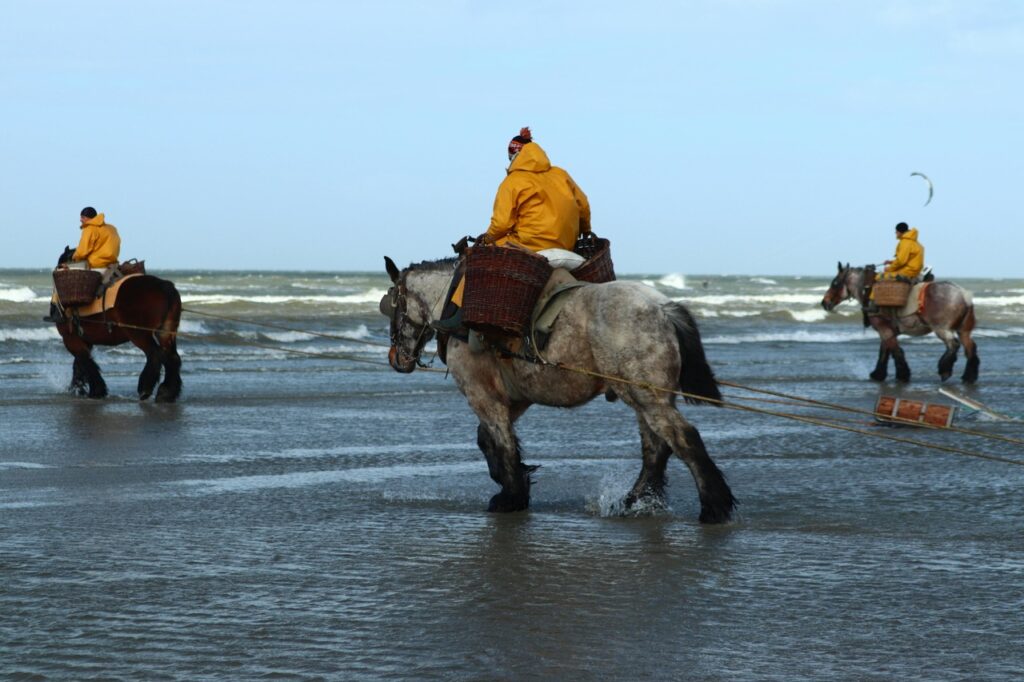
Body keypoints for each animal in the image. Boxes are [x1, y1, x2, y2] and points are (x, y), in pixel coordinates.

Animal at [51, 249, 183, 402]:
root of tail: (165, 287)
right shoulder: (83, 340)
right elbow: (79, 364)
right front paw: (77, 388)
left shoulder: (70, 339)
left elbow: (85, 361)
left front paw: (95, 390)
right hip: (166, 332)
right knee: (172, 357)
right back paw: (166, 392)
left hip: (138, 334)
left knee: (154, 355)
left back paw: (145, 389)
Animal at [381, 256, 736, 523]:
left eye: (393, 304)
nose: (396, 358)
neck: (456, 303)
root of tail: (662, 306)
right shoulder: (515, 398)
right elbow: (490, 440)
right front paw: (515, 484)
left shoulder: (482, 395)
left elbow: (502, 443)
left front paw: (510, 496)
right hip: (642, 395)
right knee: (656, 447)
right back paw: (635, 500)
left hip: (645, 396)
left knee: (684, 439)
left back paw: (714, 507)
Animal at [821, 261, 979, 384]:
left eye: (834, 283)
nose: (824, 302)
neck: (870, 290)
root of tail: (963, 295)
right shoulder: (887, 331)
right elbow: (884, 352)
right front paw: (878, 374)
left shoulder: (884, 330)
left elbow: (896, 352)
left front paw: (902, 375)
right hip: (963, 330)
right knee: (970, 348)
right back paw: (969, 376)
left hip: (941, 329)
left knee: (953, 345)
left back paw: (945, 370)